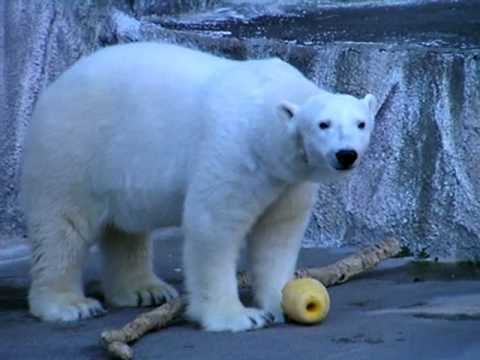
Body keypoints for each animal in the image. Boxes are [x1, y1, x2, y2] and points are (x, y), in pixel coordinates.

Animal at [20, 42, 376, 332]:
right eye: (323, 124)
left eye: (361, 123)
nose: (346, 154)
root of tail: (56, 84)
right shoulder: (236, 154)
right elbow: (214, 225)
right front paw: (238, 317)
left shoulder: (289, 180)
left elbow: (278, 234)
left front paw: (281, 301)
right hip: (73, 147)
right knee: (63, 226)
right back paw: (70, 305)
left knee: (125, 229)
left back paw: (145, 290)